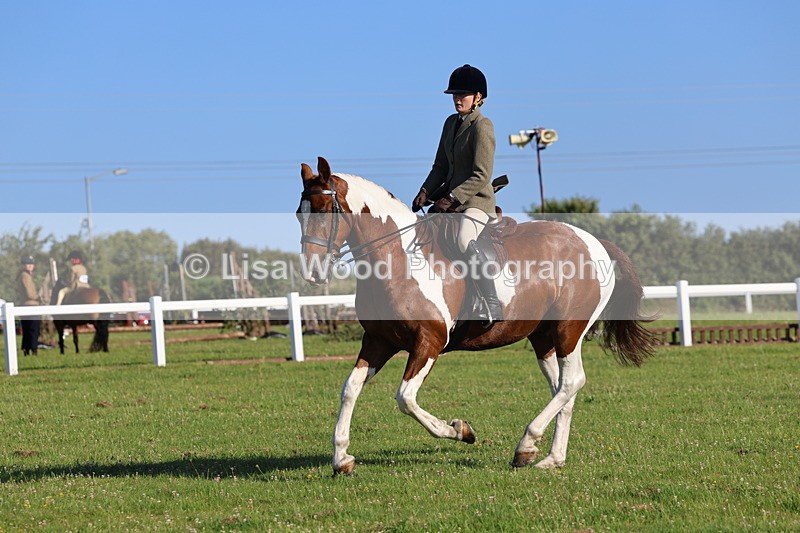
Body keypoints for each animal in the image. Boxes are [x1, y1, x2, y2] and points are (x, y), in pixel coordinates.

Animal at [297, 157, 655, 474]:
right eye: (299, 214)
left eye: (324, 209)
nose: (312, 273)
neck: (397, 259)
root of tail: (595, 243)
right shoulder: (378, 341)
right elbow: (350, 389)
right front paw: (342, 459)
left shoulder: (428, 342)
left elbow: (405, 398)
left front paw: (460, 430)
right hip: (543, 337)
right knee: (562, 388)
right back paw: (550, 458)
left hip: (570, 330)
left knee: (572, 382)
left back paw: (526, 444)